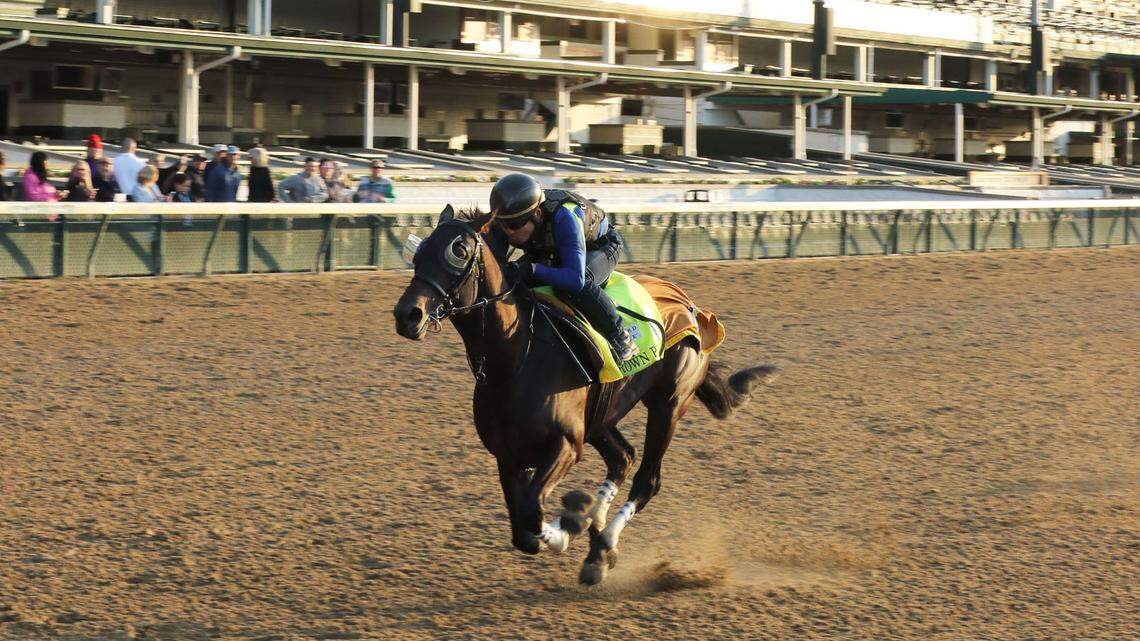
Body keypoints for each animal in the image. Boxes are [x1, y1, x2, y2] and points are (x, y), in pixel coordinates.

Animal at [393, 205, 775, 585]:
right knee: (622, 458)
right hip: (603, 417)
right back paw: (599, 546)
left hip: (668, 405)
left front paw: (574, 520)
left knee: (647, 480)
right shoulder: (508, 455)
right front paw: (579, 523)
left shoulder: (565, 444)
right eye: (420, 250)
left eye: (457, 251)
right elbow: (523, 532)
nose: (407, 315)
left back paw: (602, 543)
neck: (516, 358)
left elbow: (532, 512)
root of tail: (691, 306)